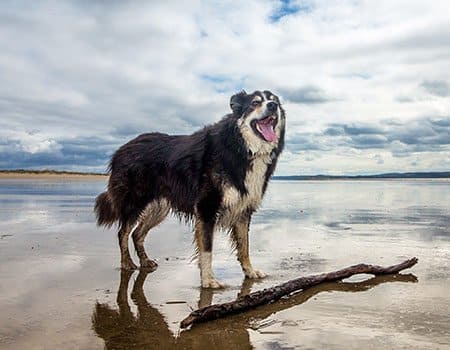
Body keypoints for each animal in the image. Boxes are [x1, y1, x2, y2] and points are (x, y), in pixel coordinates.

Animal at [94, 89, 284, 288]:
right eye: (255, 103)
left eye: (275, 102)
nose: (273, 106)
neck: (241, 146)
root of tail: (119, 151)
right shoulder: (207, 208)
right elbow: (207, 249)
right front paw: (208, 280)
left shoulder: (243, 210)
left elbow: (244, 246)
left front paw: (250, 271)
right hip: (134, 202)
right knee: (122, 233)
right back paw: (126, 263)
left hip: (158, 208)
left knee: (137, 234)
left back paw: (145, 261)